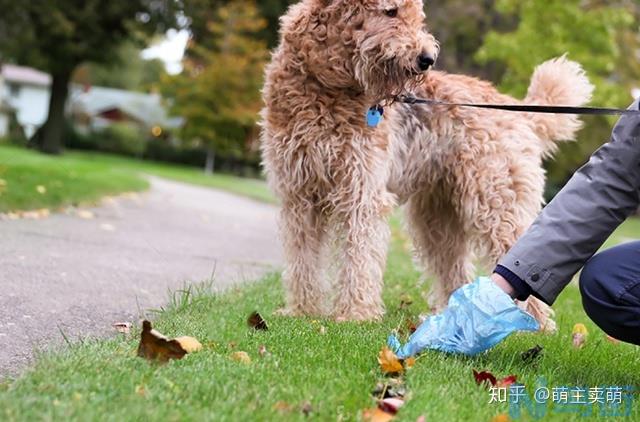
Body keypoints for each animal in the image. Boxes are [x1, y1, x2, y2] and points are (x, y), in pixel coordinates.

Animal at [258, 0, 592, 326]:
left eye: (417, 16)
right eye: (390, 11)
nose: (427, 58)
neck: (326, 85)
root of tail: (519, 110)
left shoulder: (361, 192)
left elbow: (359, 256)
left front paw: (355, 314)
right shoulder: (299, 194)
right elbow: (302, 258)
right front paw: (302, 311)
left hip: (496, 201)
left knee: (519, 254)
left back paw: (532, 325)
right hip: (437, 217)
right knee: (455, 268)